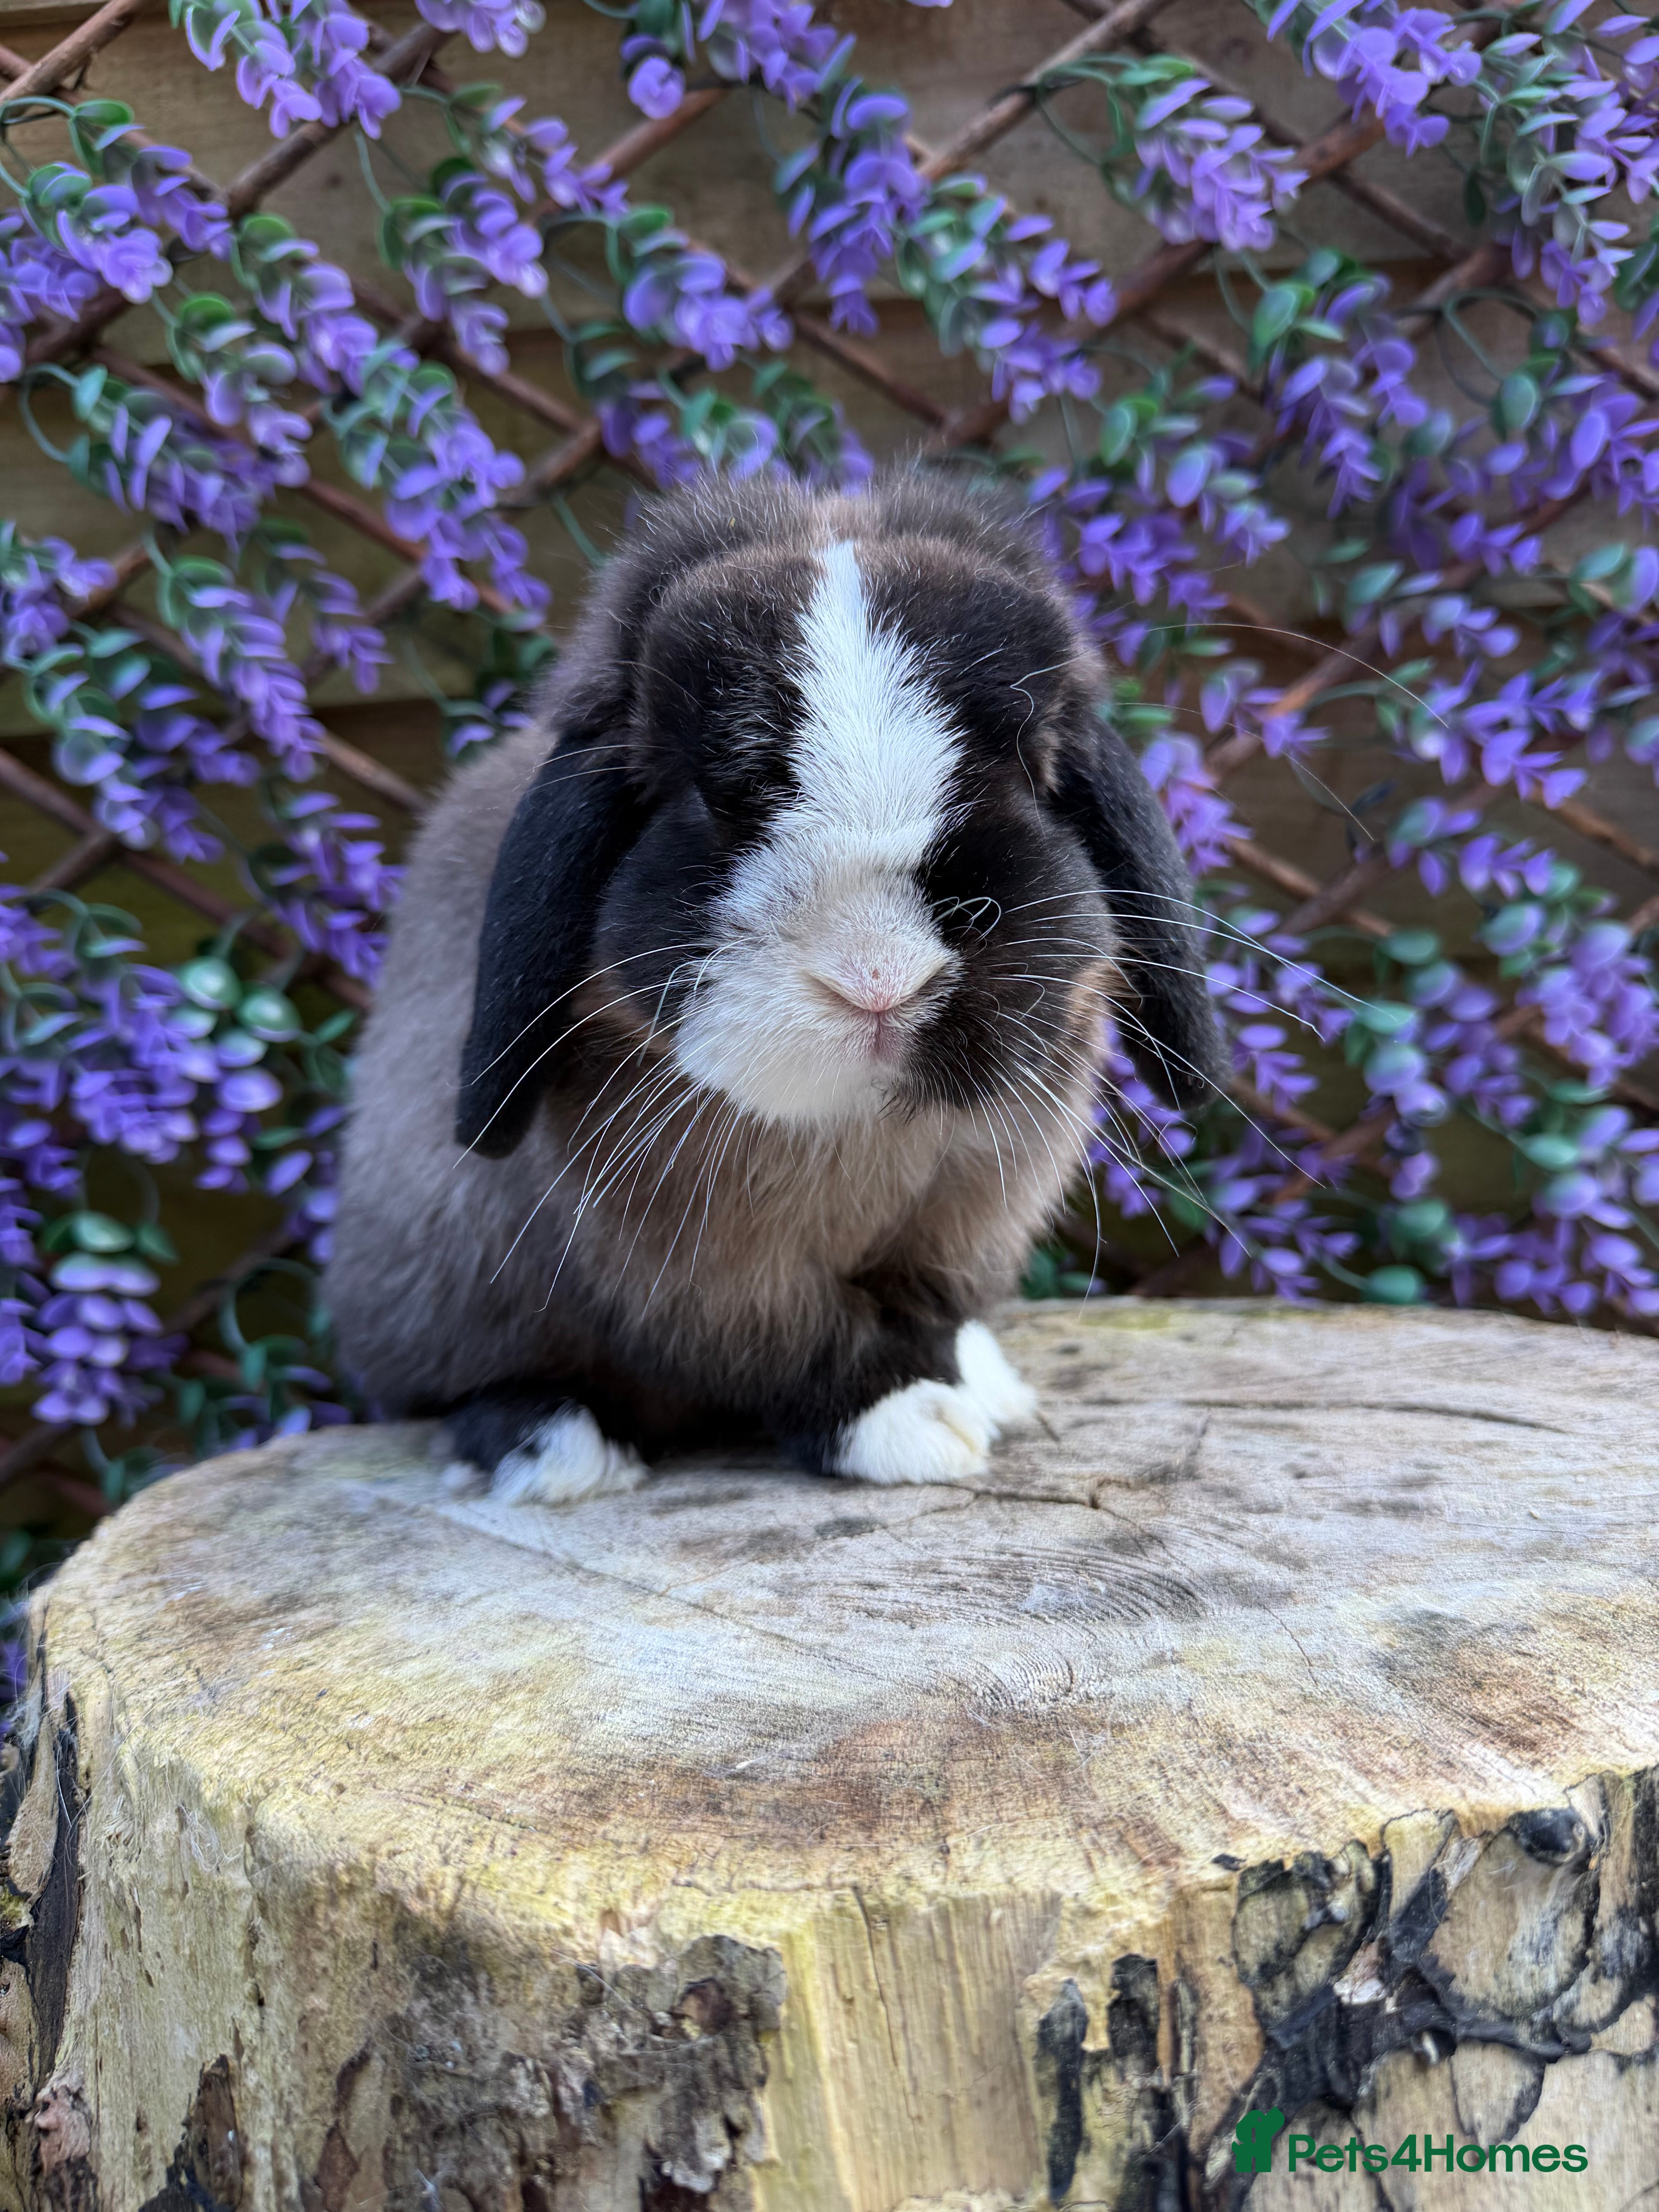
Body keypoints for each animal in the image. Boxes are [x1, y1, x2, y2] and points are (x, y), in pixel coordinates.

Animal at [325, 471, 1221, 1505]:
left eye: (1032, 773)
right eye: (708, 797)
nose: (878, 979)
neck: (864, 1125)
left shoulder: (963, 1219)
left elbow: (931, 1311)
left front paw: (962, 1389)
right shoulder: (701, 1261)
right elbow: (793, 1343)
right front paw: (909, 1425)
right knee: (456, 1390)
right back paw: (554, 1448)